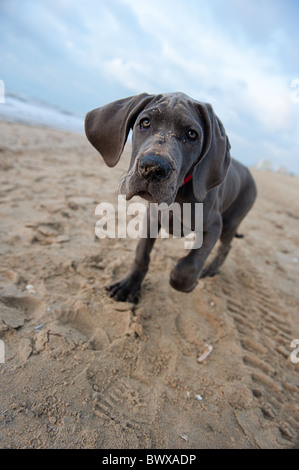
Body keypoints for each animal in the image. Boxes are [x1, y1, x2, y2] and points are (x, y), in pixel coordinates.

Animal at [85, 92, 258, 302]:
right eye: (145, 122)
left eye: (192, 134)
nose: (153, 167)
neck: (178, 197)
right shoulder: (151, 219)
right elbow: (141, 254)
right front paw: (129, 285)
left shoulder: (214, 226)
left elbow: (186, 268)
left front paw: (189, 283)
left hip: (231, 221)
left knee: (226, 247)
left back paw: (210, 269)